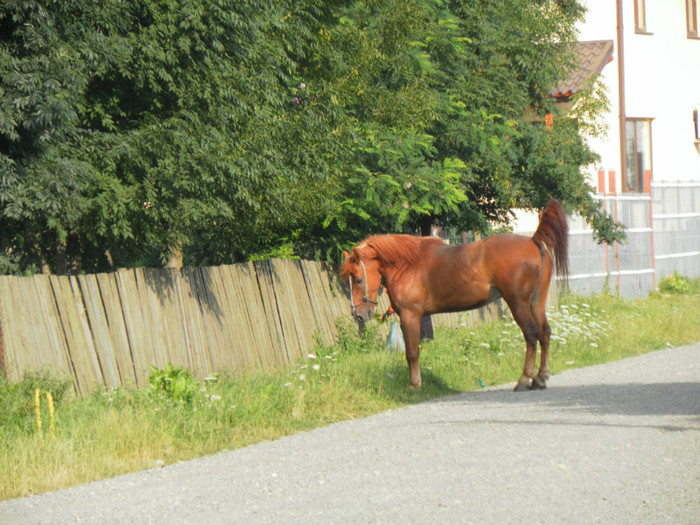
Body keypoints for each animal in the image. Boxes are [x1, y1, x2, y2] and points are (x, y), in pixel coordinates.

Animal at [340, 199, 568, 390]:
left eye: (358, 278)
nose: (358, 314)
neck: (407, 265)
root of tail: (533, 241)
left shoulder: (410, 316)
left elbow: (412, 352)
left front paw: (414, 385)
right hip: (537, 303)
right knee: (545, 333)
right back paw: (540, 378)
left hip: (518, 304)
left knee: (531, 335)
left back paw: (524, 379)